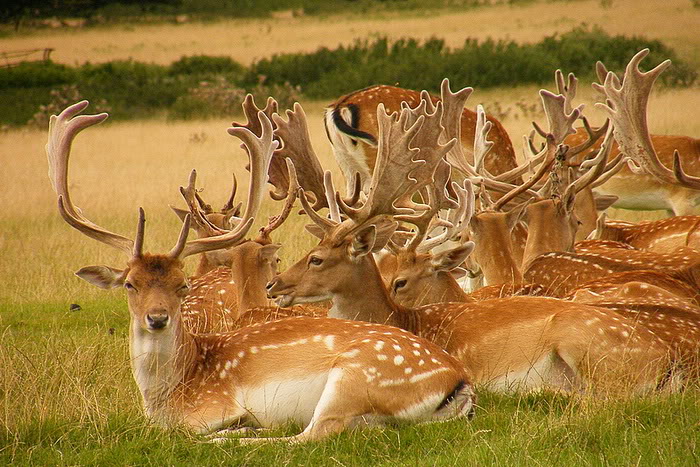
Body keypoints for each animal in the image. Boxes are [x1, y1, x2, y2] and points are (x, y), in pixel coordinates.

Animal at [46, 100, 476, 444]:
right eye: (130, 284)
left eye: (182, 285)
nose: (157, 318)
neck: (169, 395)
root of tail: (460, 381)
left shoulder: (210, 408)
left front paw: (237, 426)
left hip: (354, 379)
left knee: (310, 435)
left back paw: (238, 436)